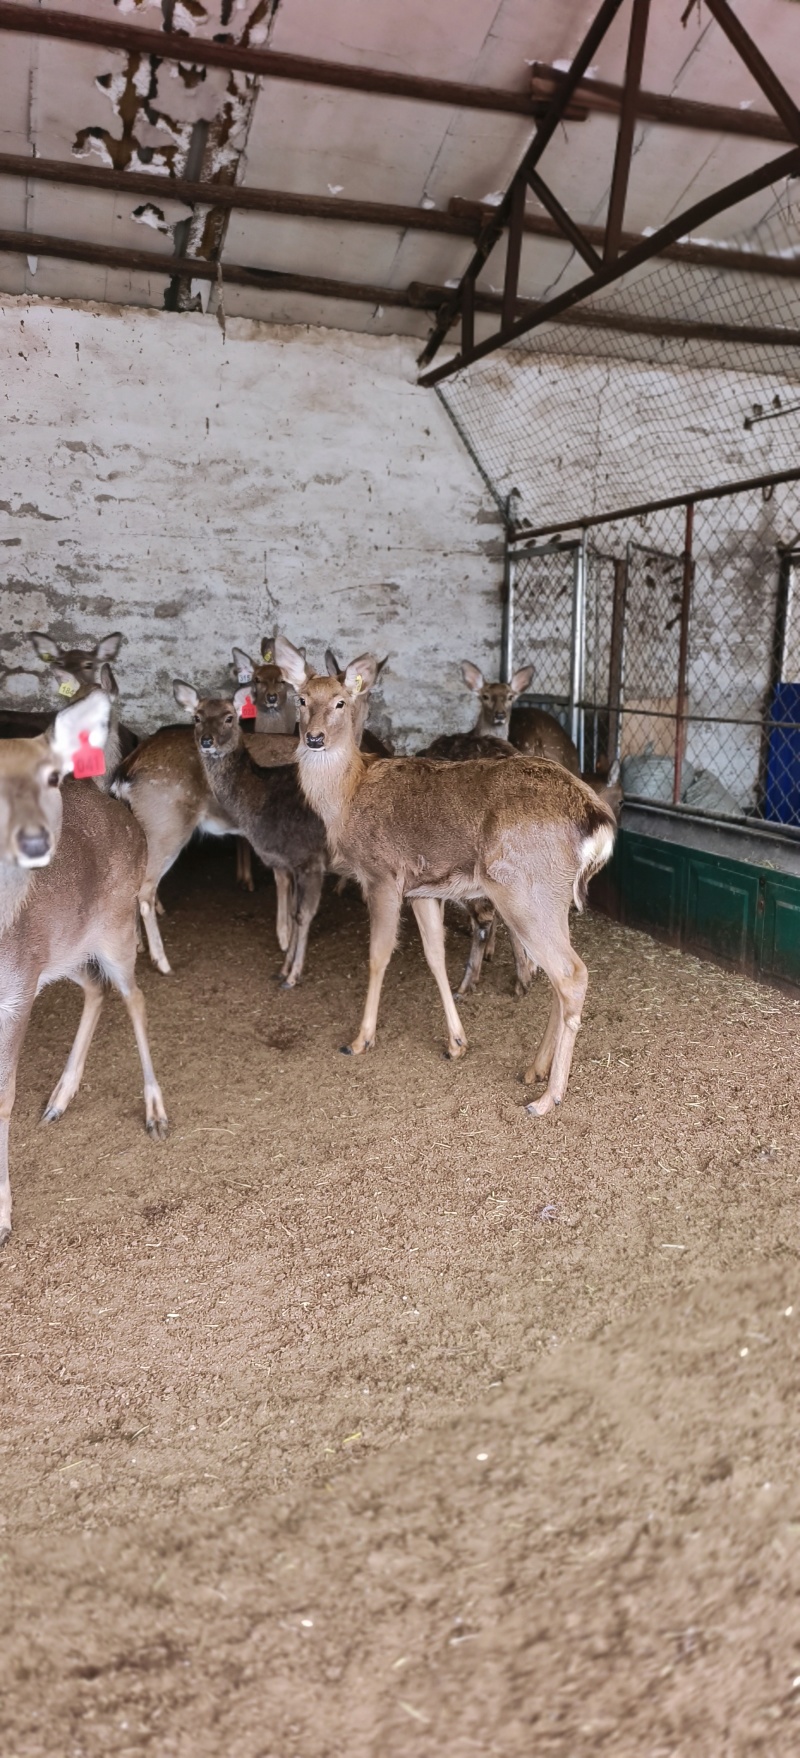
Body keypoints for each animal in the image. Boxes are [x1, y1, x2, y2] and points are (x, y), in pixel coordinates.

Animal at [0, 691, 168, 1247]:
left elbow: (3, 1097)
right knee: (95, 987)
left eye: (50, 776)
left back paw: (155, 1110)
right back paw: (59, 1098)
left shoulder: (15, 996)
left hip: (114, 928)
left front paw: (3, 1216)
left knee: (134, 995)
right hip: (62, 951)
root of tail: (125, 812)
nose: (32, 841)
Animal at [172, 681, 328, 988]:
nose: (207, 741)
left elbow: (303, 915)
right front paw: (283, 969)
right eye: (197, 717)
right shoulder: (287, 862)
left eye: (229, 717)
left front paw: (293, 975)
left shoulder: (309, 858)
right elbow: (293, 913)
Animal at [275, 636, 615, 1116]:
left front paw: (359, 1039)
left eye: (340, 701)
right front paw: (456, 1042)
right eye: (301, 699)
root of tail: (596, 818)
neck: (347, 795)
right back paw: (533, 1070)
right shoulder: (423, 889)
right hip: (549, 898)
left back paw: (547, 1097)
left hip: (523, 892)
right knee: (561, 975)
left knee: (571, 974)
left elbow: (378, 954)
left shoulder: (382, 874)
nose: (314, 738)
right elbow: (434, 955)